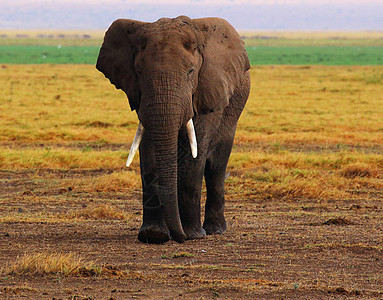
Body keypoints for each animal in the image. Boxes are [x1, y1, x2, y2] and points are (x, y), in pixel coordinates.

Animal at [97, 15, 250, 244]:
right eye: (139, 72)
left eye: (191, 72)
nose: (180, 238)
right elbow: (149, 150)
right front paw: (154, 235)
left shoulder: (207, 89)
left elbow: (196, 153)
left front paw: (193, 235)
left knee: (216, 165)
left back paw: (214, 230)